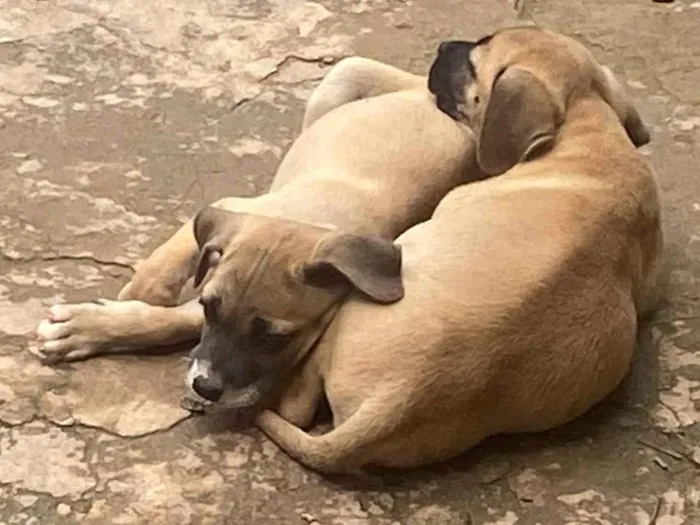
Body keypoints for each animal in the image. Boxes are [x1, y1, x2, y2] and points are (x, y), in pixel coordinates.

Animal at [34, 57, 482, 408]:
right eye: (212, 309)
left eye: (275, 339)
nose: (206, 389)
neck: (308, 220)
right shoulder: (229, 216)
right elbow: (170, 273)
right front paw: (137, 296)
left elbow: (173, 321)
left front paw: (89, 328)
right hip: (340, 79)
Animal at [254, 26, 664, 472]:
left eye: (472, 63)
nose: (442, 46)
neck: (585, 125)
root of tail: (397, 402)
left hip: (348, 309)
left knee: (296, 407)